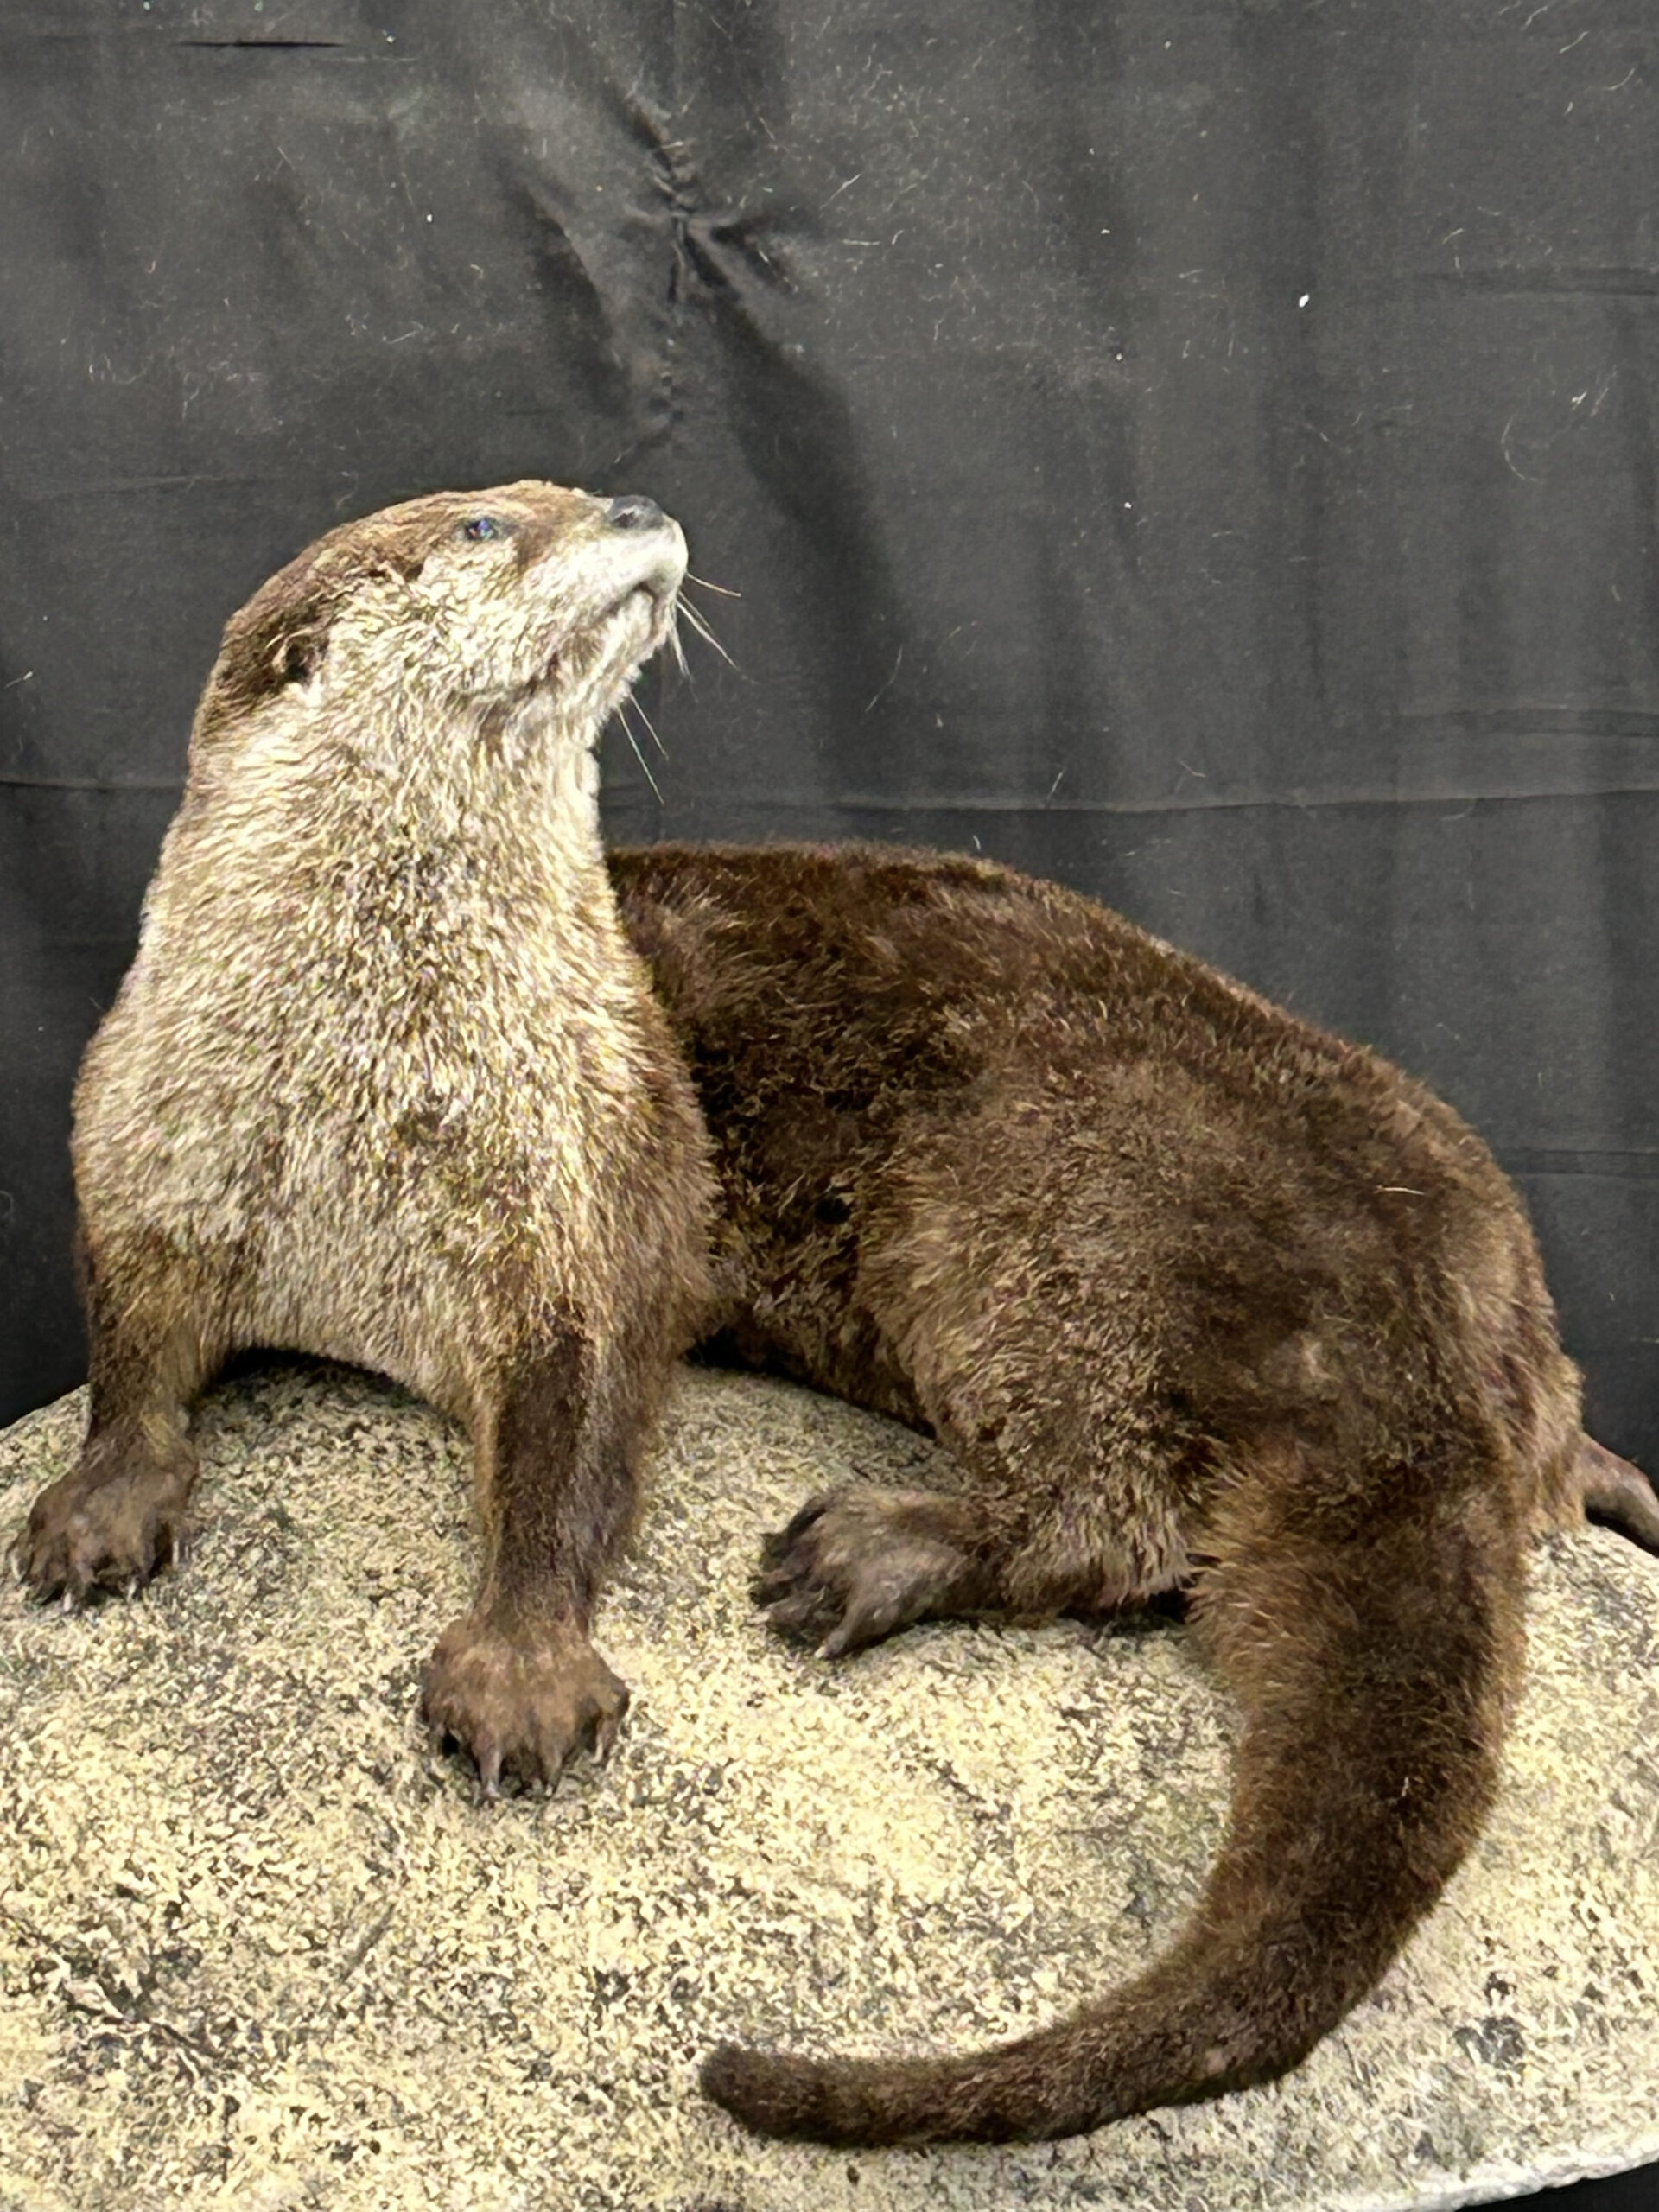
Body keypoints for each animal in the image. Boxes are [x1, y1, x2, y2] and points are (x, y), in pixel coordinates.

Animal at [12, 483, 715, 1794]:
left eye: (571, 494)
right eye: (488, 524)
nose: (638, 505)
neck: (361, 1101)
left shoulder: (571, 1186)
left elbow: (574, 1427)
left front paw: (521, 1667)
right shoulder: (148, 1139)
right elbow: (123, 1336)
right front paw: (97, 1508)